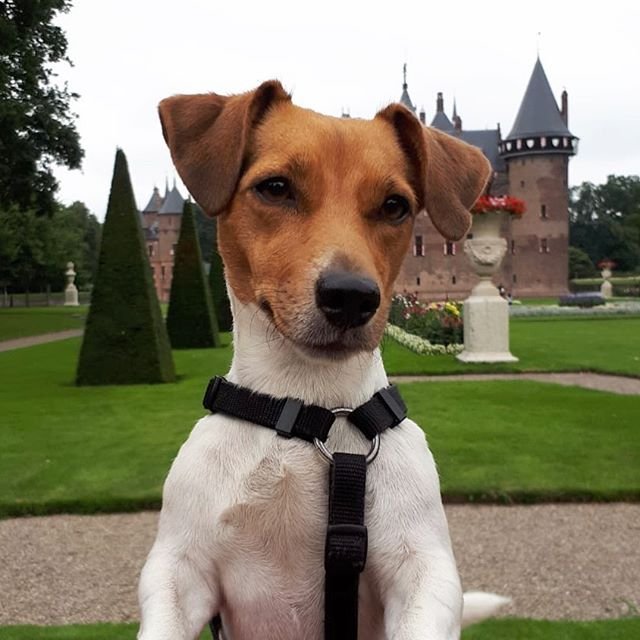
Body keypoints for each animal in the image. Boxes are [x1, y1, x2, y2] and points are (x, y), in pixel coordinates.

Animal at [138, 81, 508, 640]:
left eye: (396, 205)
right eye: (275, 187)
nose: (351, 297)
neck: (308, 409)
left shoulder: (423, 569)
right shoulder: (179, 570)